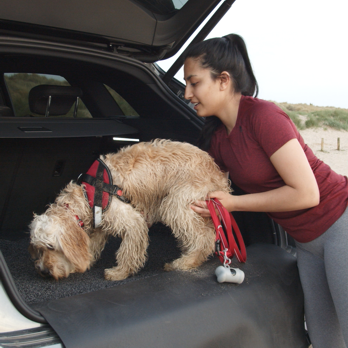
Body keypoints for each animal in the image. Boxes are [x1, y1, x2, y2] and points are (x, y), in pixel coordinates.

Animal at [29, 139, 231, 280]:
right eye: (38, 248)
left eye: (50, 246)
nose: (43, 271)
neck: (87, 196)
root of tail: (219, 174)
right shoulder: (100, 225)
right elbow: (92, 245)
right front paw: (86, 261)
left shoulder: (132, 221)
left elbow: (129, 250)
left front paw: (120, 273)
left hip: (176, 204)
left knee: (205, 238)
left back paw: (185, 262)